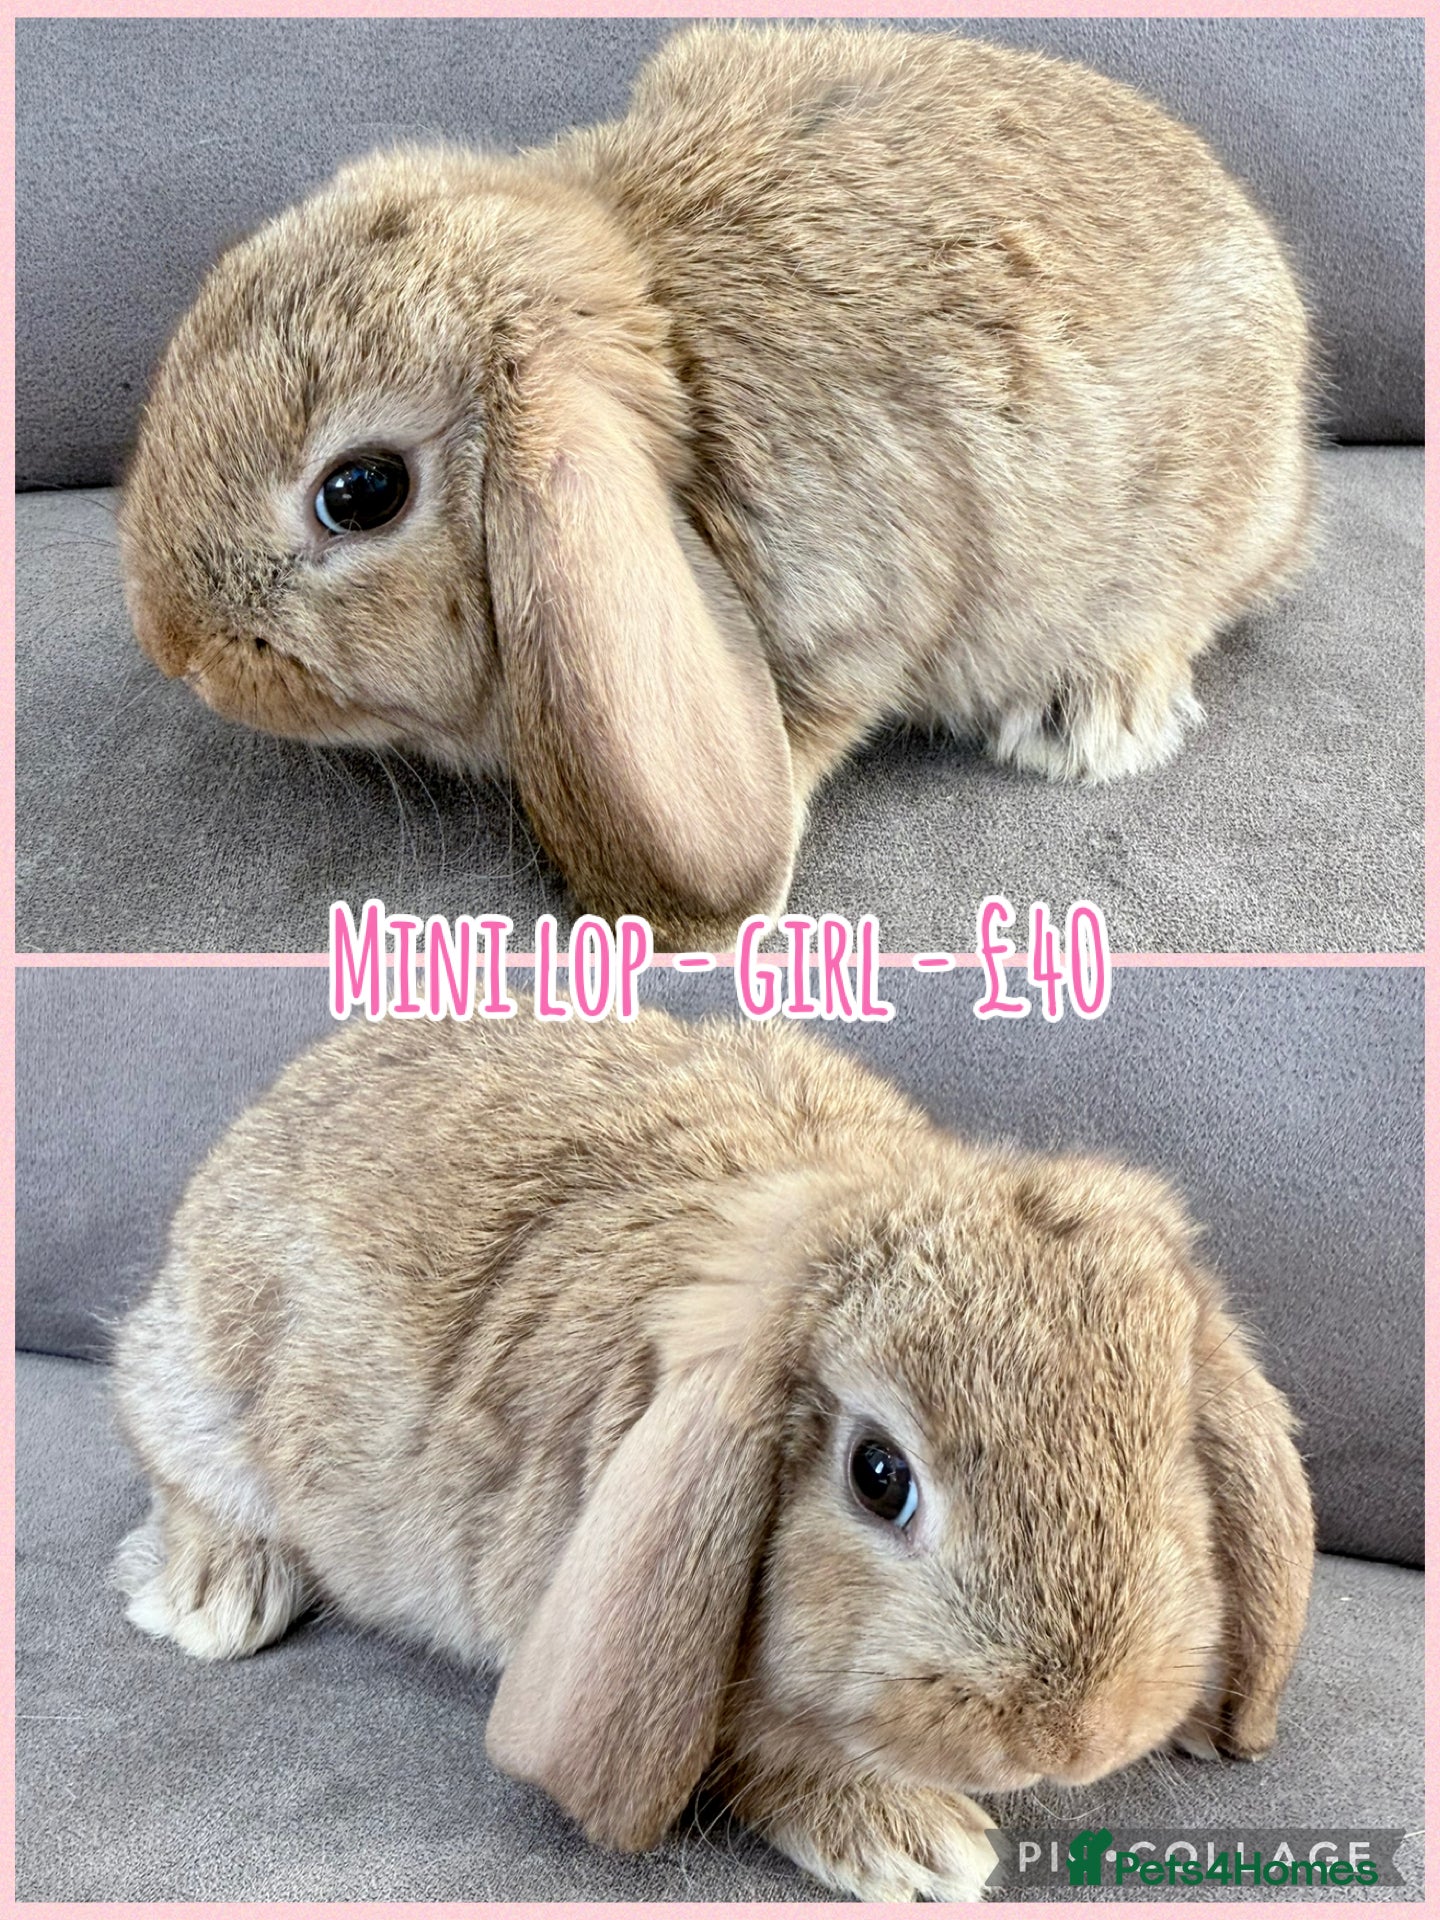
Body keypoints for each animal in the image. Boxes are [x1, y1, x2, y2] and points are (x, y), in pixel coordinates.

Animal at [112, 1006, 1313, 1902]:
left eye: (1171, 1454)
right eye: (879, 1476)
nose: (1073, 1737)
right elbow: (756, 1757)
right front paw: (917, 1847)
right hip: (203, 1385)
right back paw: (216, 1598)